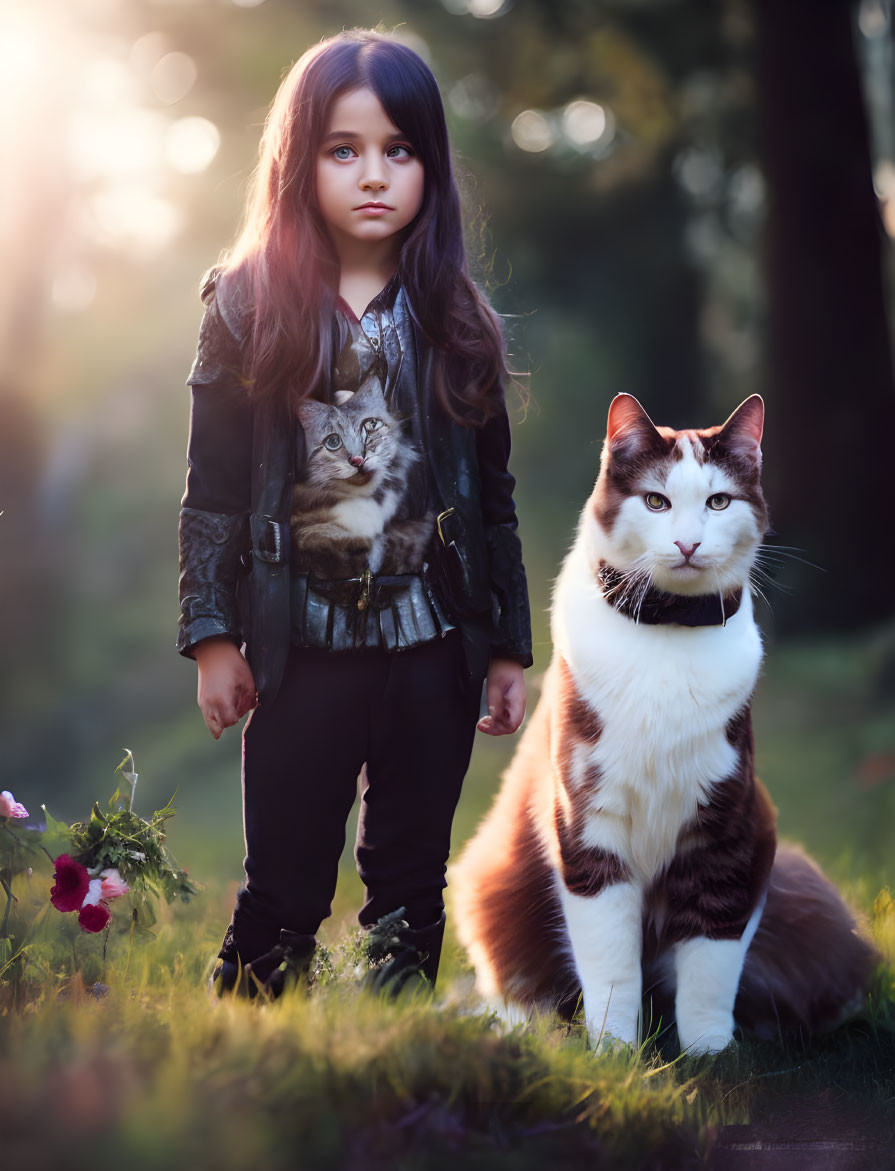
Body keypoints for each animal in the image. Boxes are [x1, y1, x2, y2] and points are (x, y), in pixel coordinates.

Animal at [454, 391, 876, 1053]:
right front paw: (615, 1052)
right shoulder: (588, 828)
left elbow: (711, 958)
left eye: (718, 502)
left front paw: (710, 1053)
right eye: (656, 501)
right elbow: (611, 965)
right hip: (489, 879)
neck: (668, 628)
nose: (687, 544)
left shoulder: (730, 830)